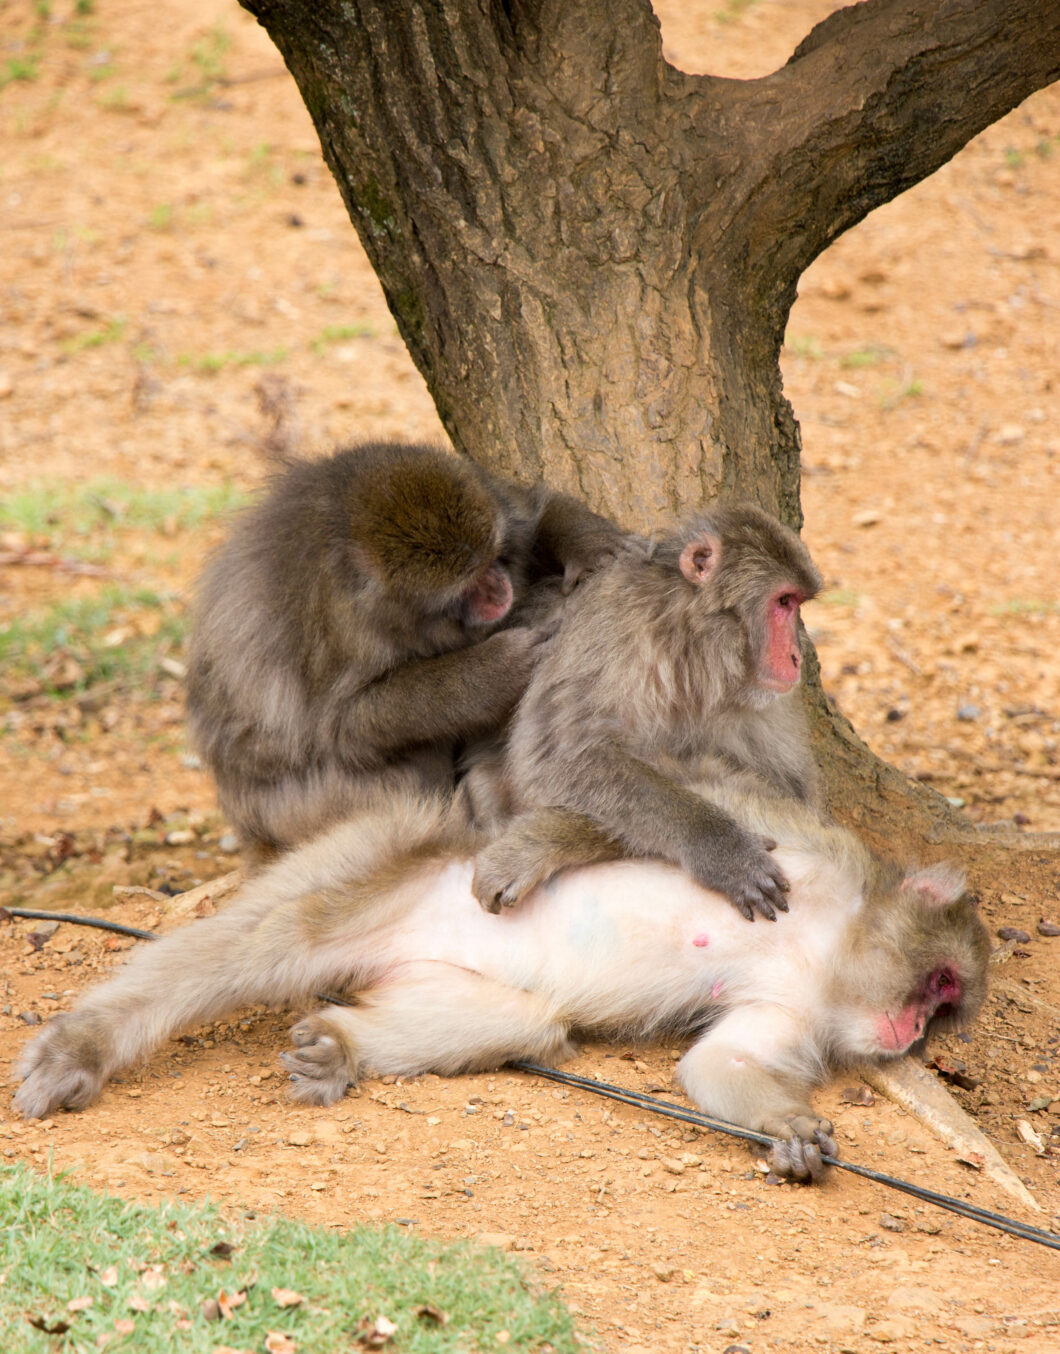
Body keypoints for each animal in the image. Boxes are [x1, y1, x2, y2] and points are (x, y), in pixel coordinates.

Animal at [188, 438, 625, 855]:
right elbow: (344, 723)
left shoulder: (489, 494)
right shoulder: (344, 627)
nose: (499, 590)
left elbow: (533, 506)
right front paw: (499, 670)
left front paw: (587, 546)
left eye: (493, 560)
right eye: (467, 588)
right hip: (309, 807)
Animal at [473, 503, 828, 926]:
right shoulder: (614, 629)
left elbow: (788, 799)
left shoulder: (768, 701)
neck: (695, 646)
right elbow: (560, 758)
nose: (796, 656)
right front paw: (721, 849)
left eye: (797, 603)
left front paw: (540, 841)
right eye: (783, 602)